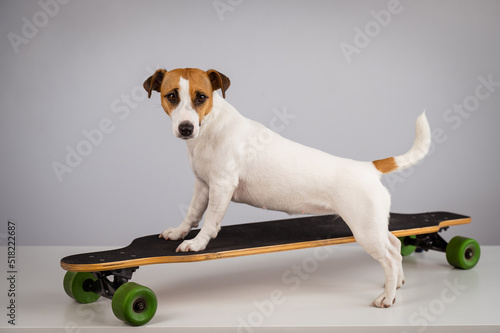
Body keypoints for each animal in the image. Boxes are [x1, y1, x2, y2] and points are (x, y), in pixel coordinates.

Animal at [143, 67, 432, 306]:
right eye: (171, 96)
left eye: (201, 97)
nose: (186, 128)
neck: (210, 126)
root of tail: (370, 168)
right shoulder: (203, 185)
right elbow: (192, 213)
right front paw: (179, 232)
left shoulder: (222, 186)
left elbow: (210, 220)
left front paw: (198, 242)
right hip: (375, 227)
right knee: (394, 246)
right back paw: (397, 284)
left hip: (365, 231)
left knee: (390, 259)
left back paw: (387, 297)